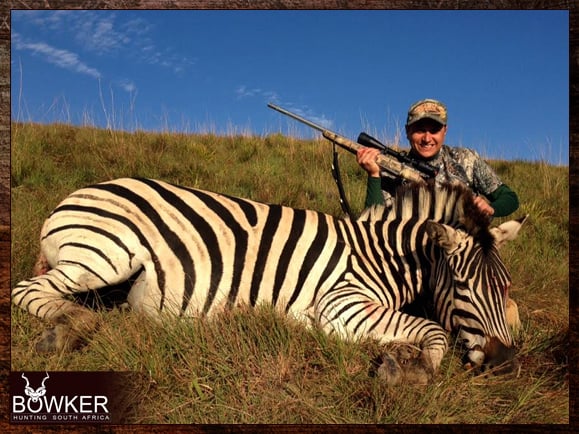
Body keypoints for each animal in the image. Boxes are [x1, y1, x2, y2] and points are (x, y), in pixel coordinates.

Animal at [11, 176, 528, 384]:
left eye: (504, 287)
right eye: (463, 287)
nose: (504, 363)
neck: (380, 256)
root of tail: (79, 193)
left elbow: (419, 328)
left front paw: (400, 358)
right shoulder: (340, 305)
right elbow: (432, 329)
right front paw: (415, 369)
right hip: (105, 255)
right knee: (28, 292)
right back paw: (68, 329)